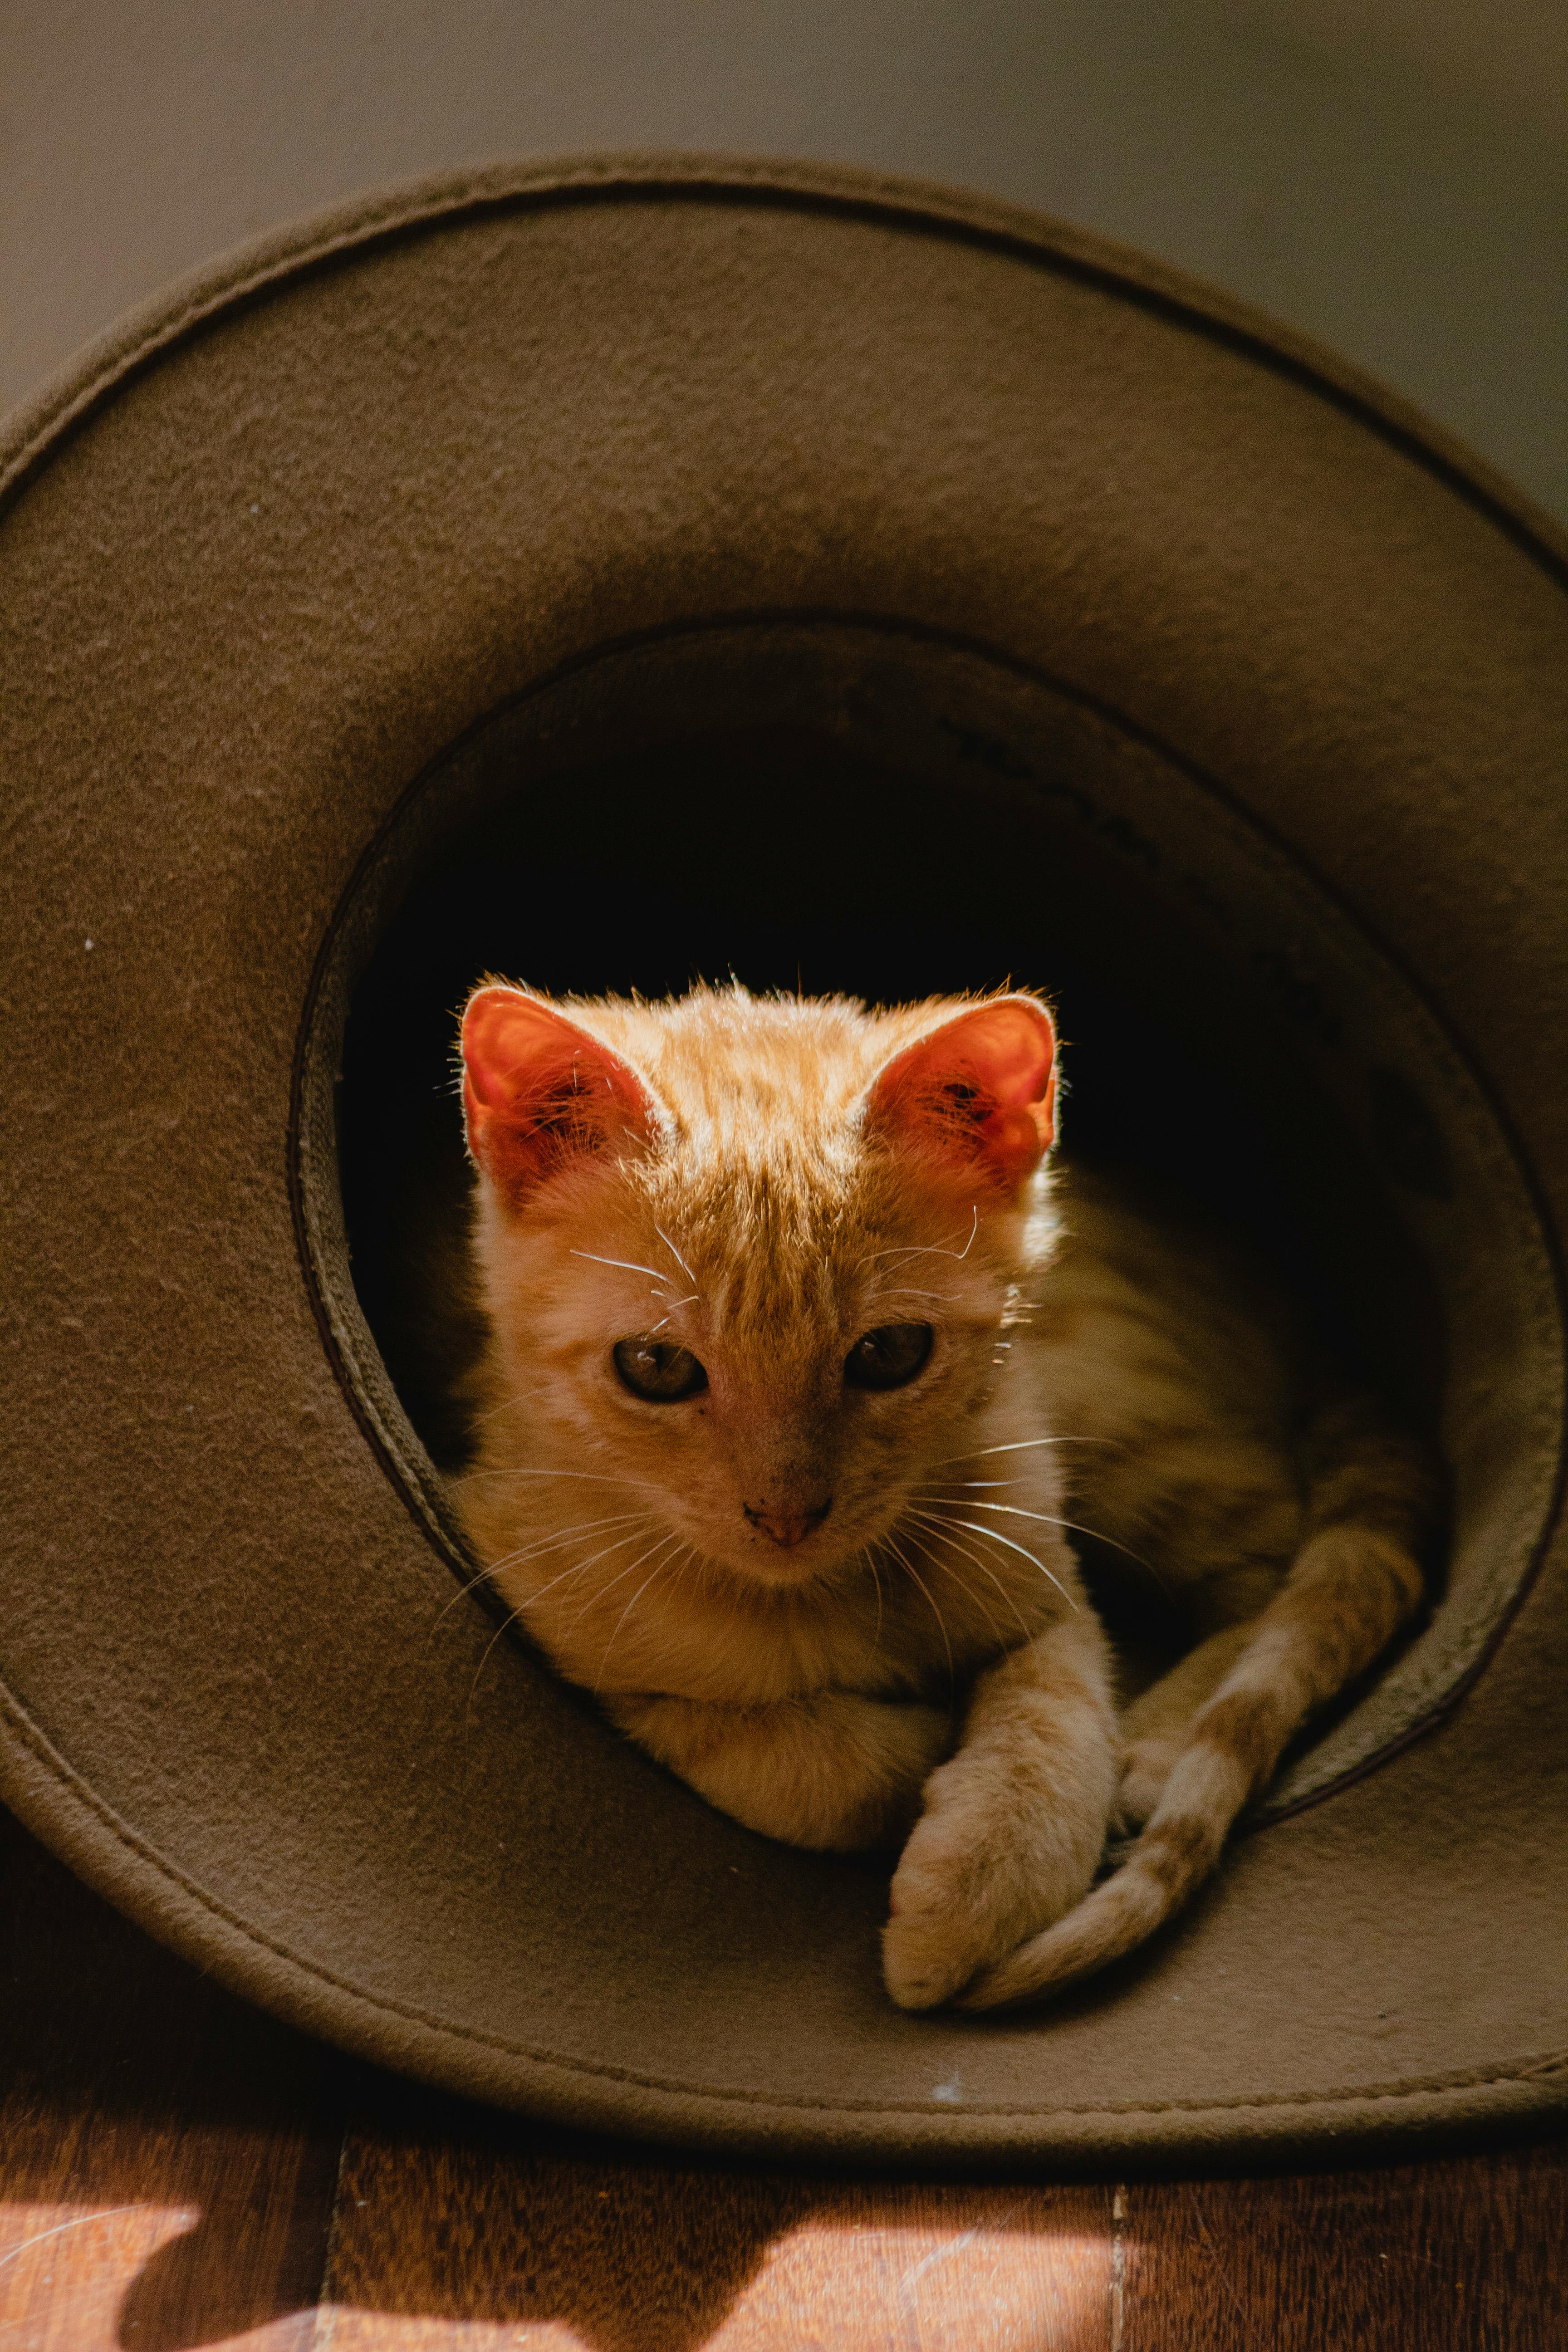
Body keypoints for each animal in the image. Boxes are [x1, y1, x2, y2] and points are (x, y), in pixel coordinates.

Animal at [444, 983, 1439, 2013]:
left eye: (890, 1353)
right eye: (655, 1365)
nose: (787, 1515)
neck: (818, 1598)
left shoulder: (1041, 1562)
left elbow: (1055, 1709)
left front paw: (982, 1886)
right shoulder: (552, 1615)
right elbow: (802, 1769)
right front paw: (913, 1751)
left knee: (1275, 1558)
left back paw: (1157, 1743)